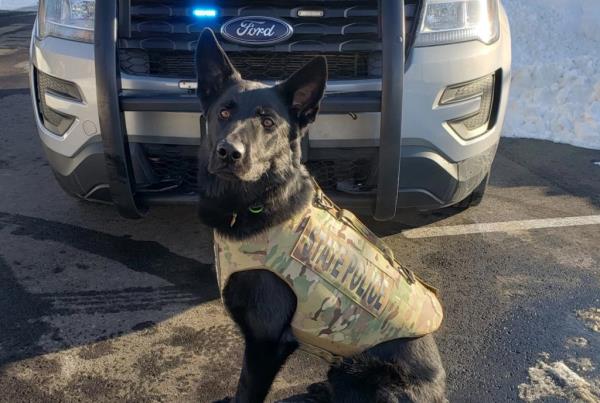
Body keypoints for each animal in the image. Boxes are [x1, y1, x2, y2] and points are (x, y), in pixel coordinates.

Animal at [195, 29, 447, 403]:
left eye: (268, 122)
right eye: (224, 112)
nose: (229, 153)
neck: (257, 202)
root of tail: (441, 391)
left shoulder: (266, 344)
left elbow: (247, 391)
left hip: (359, 374)